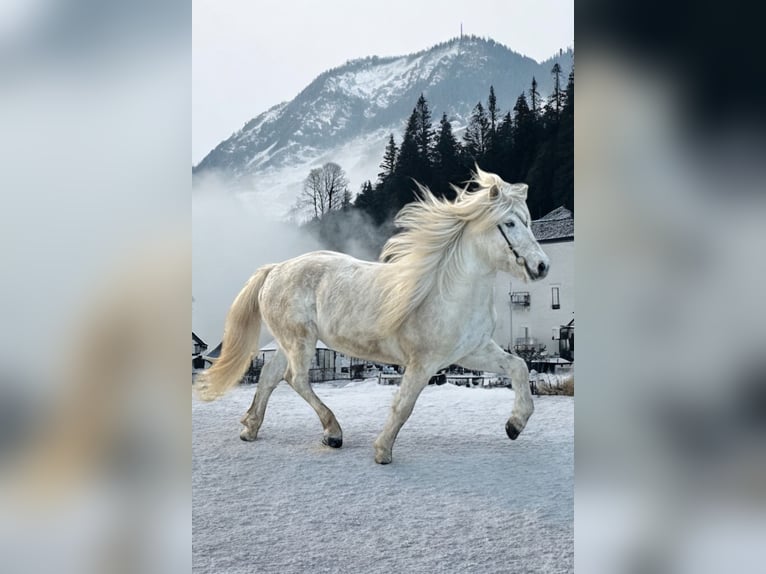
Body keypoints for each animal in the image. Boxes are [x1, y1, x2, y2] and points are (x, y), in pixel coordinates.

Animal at [195, 169, 548, 466]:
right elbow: (405, 405)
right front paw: (382, 451)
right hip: (300, 340)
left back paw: (251, 428)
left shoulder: (471, 353)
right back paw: (332, 433)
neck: (449, 291)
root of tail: (275, 269)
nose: (542, 266)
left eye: (527, 221)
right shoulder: (423, 363)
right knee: (296, 379)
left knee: (270, 376)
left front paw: (515, 425)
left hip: (287, 342)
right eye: (510, 224)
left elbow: (519, 366)